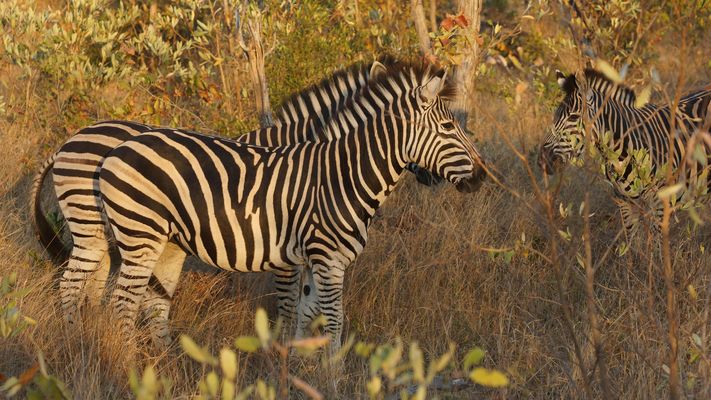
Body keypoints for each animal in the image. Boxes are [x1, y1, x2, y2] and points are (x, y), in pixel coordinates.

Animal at [31, 59, 439, 343]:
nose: (433, 179)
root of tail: (69, 141)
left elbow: (305, 306)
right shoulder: (287, 250)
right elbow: (291, 304)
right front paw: (283, 353)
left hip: (101, 230)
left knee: (92, 283)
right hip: (95, 221)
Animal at [538, 68, 711, 232]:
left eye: (573, 117)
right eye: (555, 116)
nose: (543, 161)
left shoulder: (660, 203)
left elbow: (656, 243)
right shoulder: (624, 202)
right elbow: (632, 241)